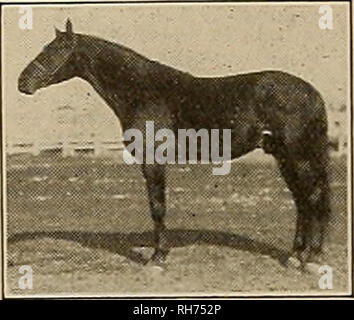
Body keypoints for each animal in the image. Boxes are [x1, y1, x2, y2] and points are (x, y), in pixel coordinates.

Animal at [18, 18, 330, 266]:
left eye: (54, 51)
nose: (22, 82)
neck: (143, 91)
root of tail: (312, 92)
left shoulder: (153, 160)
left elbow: (157, 206)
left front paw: (157, 258)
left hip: (297, 156)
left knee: (313, 197)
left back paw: (312, 257)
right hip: (284, 156)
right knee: (302, 201)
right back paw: (295, 256)